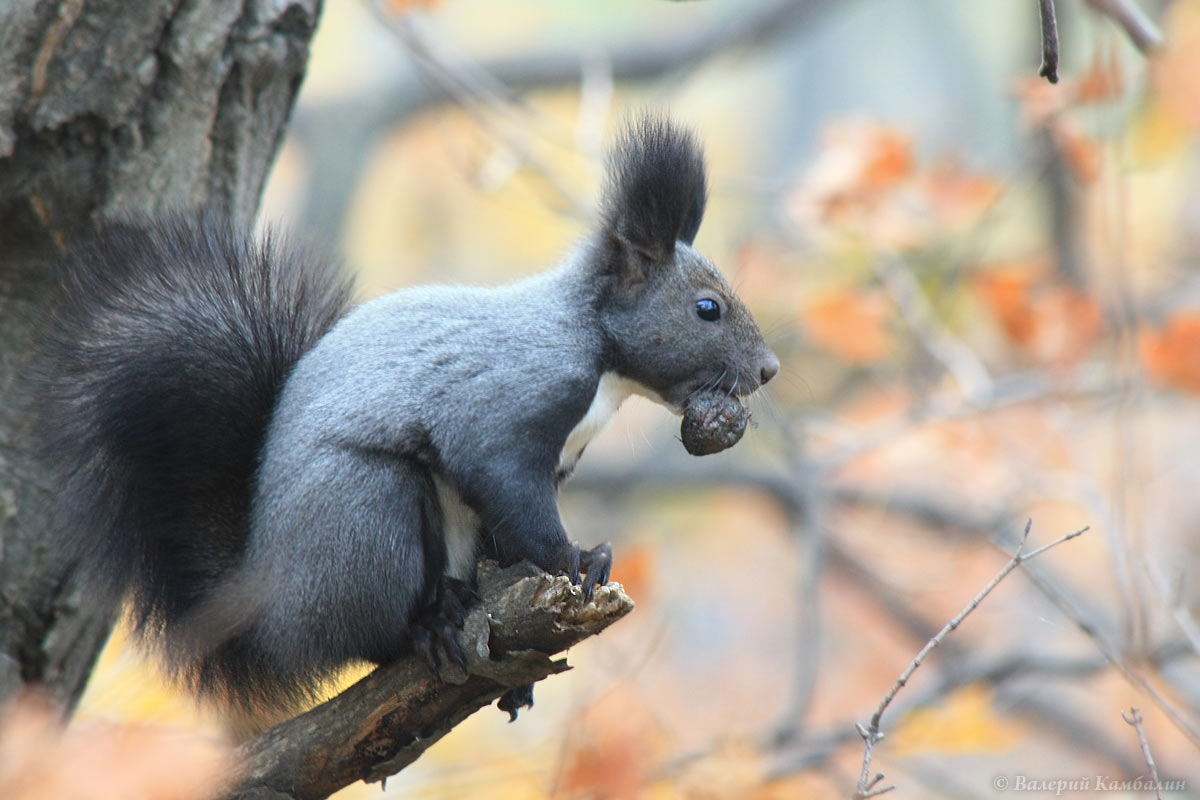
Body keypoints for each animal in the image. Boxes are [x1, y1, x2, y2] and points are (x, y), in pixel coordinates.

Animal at [35, 113, 777, 724]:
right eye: (707, 309)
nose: (769, 370)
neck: (596, 352)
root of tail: (273, 608)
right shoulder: (507, 404)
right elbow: (509, 487)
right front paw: (579, 558)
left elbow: (509, 535)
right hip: (365, 519)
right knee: (372, 635)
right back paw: (429, 624)